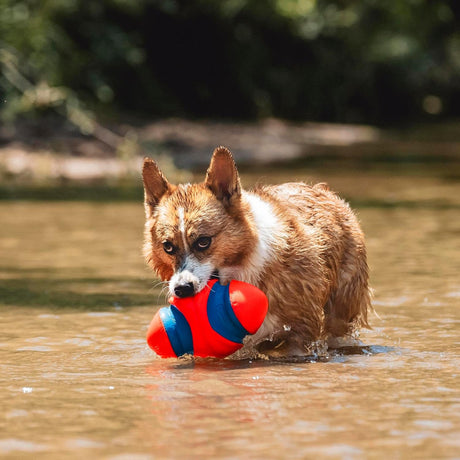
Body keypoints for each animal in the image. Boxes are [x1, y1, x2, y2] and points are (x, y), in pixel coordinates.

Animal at [142, 147, 372, 356]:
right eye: (168, 246)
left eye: (203, 242)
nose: (182, 289)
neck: (244, 268)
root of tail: (324, 190)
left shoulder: (301, 333)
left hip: (340, 311)